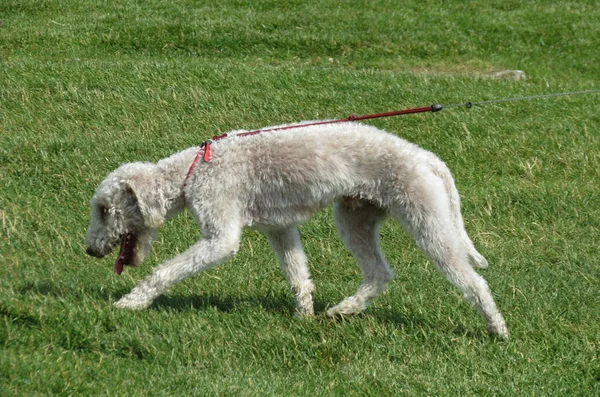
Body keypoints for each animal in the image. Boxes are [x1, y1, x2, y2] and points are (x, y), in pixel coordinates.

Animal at [84, 121, 506, 338]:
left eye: (103, 210)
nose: (89, 250)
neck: (193, 171)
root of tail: (428, 159)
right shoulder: (280, 227)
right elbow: (298, 274)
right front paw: (304, 316)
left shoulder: (220, 232)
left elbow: (167, 270)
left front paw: (132, 303)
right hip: (354, 216)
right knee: (379, 273)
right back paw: (342, 311)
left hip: (426, 217)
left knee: (473, 281)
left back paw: (497, 329)